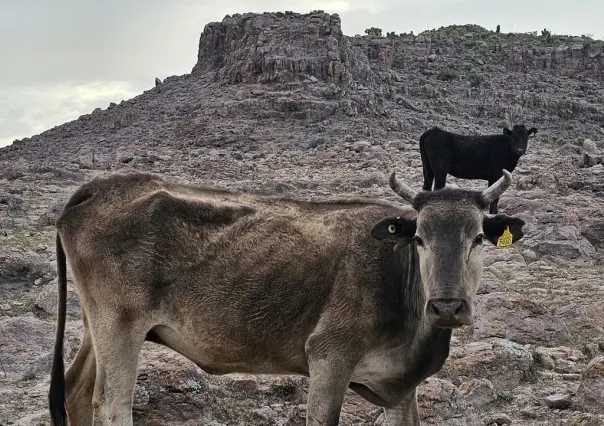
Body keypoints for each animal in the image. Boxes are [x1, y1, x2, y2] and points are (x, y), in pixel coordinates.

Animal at [49, 168, 528, 424]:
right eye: (421, 239)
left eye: (479, 238)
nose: (447, 306)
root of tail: (98, 187)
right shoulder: (329, 356)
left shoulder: (399, 386)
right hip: (120, 326)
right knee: (111, 404)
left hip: (96, 325)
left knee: (75, 391)